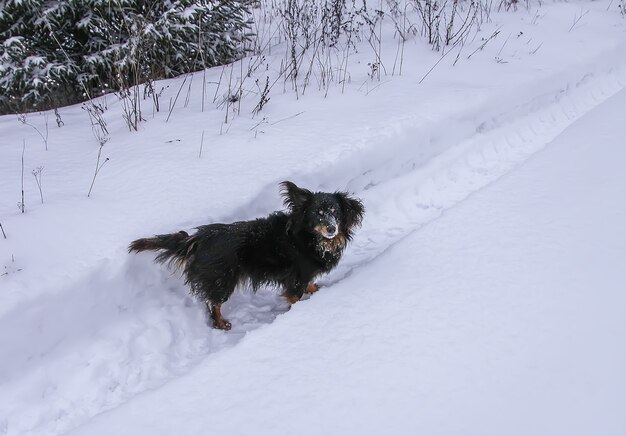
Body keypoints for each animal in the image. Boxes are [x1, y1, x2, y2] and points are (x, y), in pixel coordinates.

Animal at [129, 181, 364, 330]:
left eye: (336, 212)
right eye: (318, 214)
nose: (332, 229)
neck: (311, 239)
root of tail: (198, 239)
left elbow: (310, 285)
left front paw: (316, 290)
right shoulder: (296, 278)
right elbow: (295, 297)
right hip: (222, 279)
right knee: (213, 304)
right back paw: (221, 324)